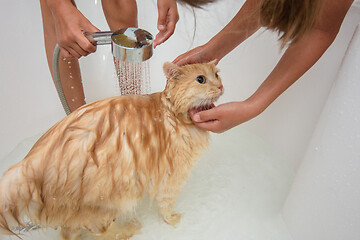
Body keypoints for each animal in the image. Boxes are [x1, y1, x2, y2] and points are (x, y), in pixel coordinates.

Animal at [0, 61, 224, 238]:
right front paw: (172, 219)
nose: (221, 86)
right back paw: (128, 229)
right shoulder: (172, 175)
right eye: (201, 79)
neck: (171, 112)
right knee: (99, 231)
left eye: (216, 75)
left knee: (69, 232)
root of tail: (28, 164)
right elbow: (166, 204)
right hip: (111, 199)